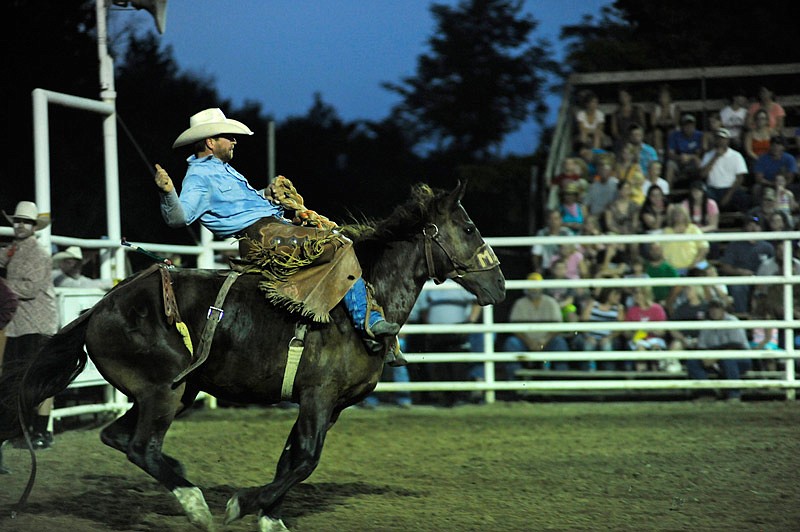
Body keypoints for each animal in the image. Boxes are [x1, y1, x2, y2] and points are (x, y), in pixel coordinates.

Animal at [0, 181, 504, 528]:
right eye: (469, 227)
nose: (499, 285)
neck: (357, 307)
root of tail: (99, 308)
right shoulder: (318, 397)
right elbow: (305, 459)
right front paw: (243, 504)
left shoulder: (330, 406)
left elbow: (291, 457)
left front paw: (270, 516)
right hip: (163, 391)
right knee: (142, 445)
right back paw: (197, 505)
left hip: (175, 392)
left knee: (119, 438)